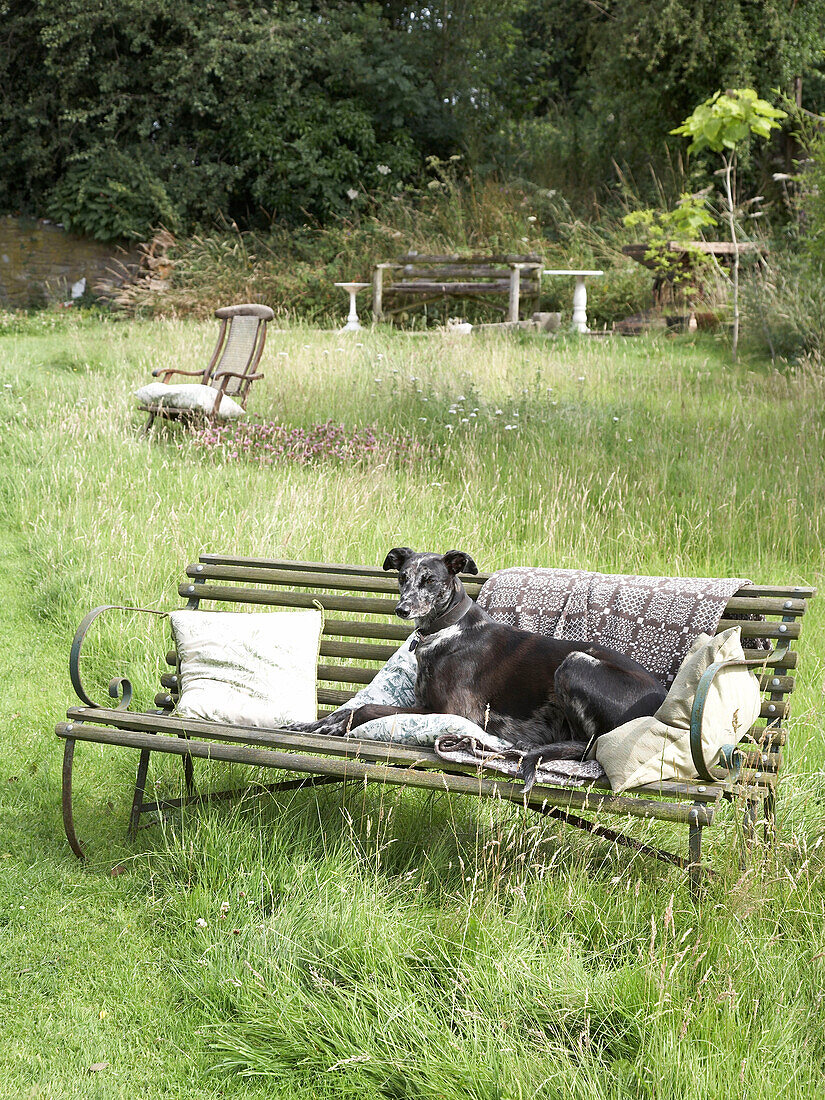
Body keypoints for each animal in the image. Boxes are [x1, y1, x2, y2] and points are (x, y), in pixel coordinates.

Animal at [294, 547, 664, 792]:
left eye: (430, 580)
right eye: (403, 577)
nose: (402, 609)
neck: (447, 630)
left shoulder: (452, 711)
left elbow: (365, 708)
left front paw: (331, 726)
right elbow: (348, 709)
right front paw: (311, 724)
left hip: (574, 663)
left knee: (588, 747)